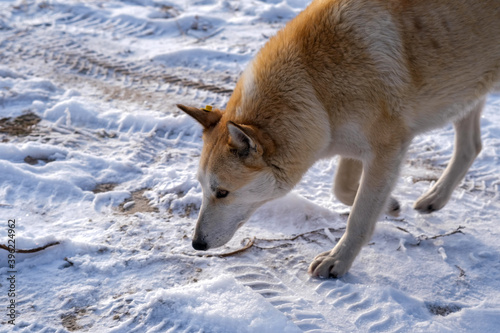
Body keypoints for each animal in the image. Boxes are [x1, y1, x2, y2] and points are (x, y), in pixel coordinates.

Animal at [177, 0, 500, 276]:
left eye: (222, 193)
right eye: (203, 187)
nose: (197, 244)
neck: (313, 84)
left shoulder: (387, 149)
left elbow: (359, 215)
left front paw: (338, 261)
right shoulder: (351, 144)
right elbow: (343, 190)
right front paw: (391, 205)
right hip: (464, 95)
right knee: (471, 147)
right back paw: (434, 198)